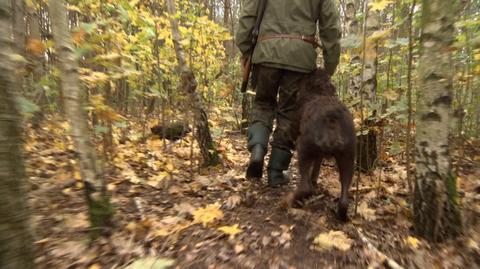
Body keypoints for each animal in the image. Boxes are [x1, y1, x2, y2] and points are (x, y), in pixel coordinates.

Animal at [290, 68, 354, 220]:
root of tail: (332, 117)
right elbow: (317, 166)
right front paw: (315, 179)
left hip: (304, 148)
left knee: (305, 186)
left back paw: (294, 200)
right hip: (348, 155)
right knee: (345, 192)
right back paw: (341, 214)